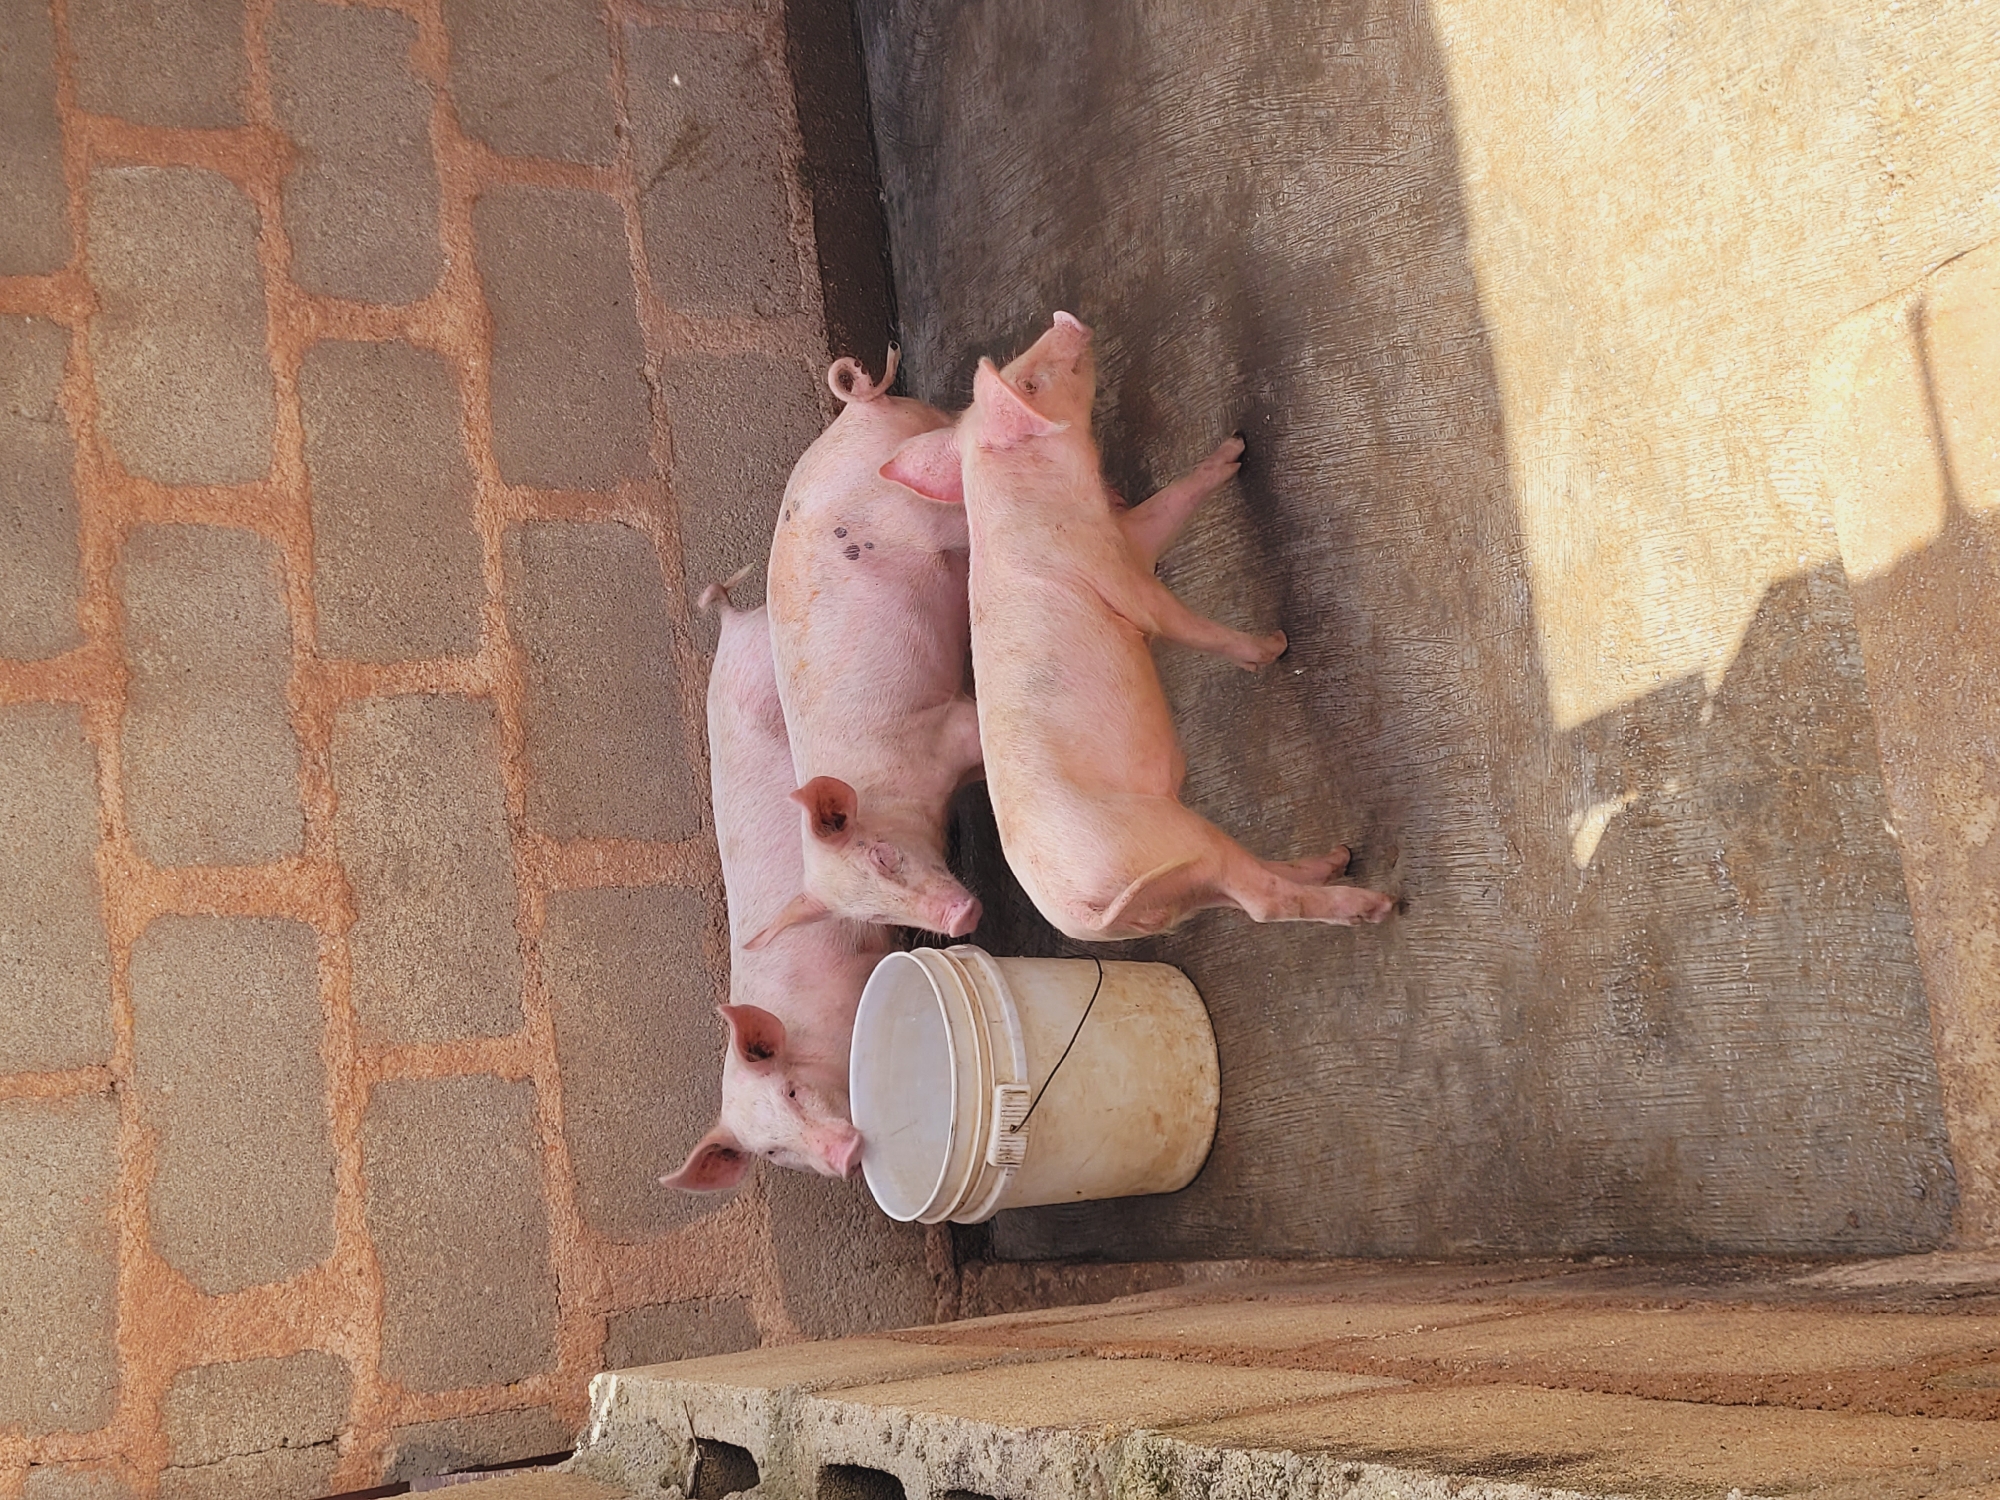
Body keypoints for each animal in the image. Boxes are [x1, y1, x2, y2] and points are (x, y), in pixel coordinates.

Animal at [753, 346, 984, 946]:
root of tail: (857, 411)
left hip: (924, 510)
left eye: (882, 856)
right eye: (875, 917)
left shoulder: (940, 725)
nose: (962, 918)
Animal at [879, 312, 1395, 941]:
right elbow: (1176, 620)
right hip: (1172, 837)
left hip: (1182, 882)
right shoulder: (1113, 574)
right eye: (1029, 383)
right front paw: (1274, 647)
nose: (1065, 319)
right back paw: (1375, 900)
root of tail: (1084, 913)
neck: (1047, 501)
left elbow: (1169, 504)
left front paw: (1236, 449)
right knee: (1263, 901)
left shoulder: (1129, 536)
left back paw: (1337, 858)